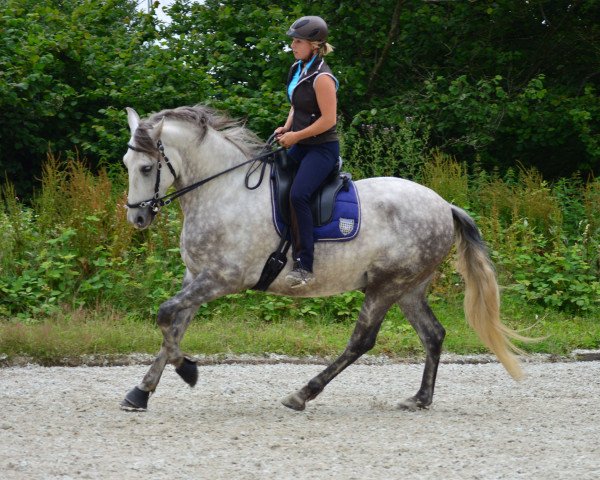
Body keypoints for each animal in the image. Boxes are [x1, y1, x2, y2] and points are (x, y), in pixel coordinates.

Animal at [119, 105, 524, 412]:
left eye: (146, 168)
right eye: (126, 163)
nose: (137, 218)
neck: (223, 191)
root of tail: (444, 205)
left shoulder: (221, 278)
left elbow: (165, 314)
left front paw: (187, 370)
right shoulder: (196, 277)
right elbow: (174, 325)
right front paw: (141, 392)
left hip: (385, 286)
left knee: (361, 341)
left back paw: (302, 394)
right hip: (409, 288)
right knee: (433, 334)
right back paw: (420, 399)